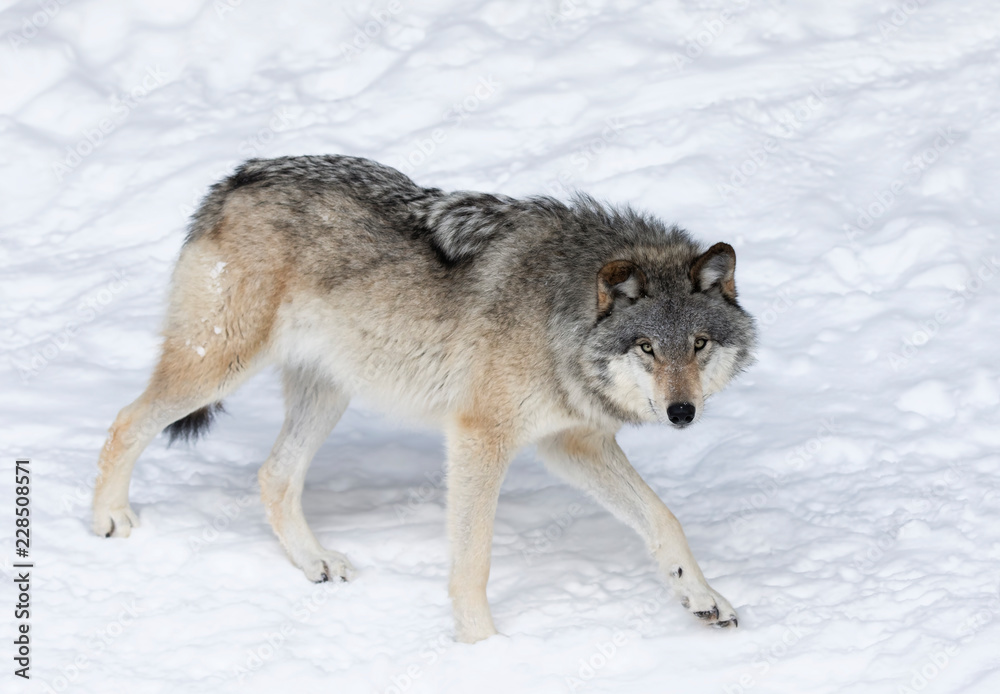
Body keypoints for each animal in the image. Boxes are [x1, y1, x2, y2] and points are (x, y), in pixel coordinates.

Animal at [92, 154, 757, 643]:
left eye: (698, 344)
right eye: (647, 347)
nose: (681, 413)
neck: (558, 315)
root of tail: (233, 179)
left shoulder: (572, 443)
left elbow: (664, 519)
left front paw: (703, 596)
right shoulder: (479, 437)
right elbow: (472, 562)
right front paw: (483, 649)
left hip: (329, 393)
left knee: (273, 476)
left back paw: (315, 563)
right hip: (219, 368)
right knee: (125, 421)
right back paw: (109, 518)